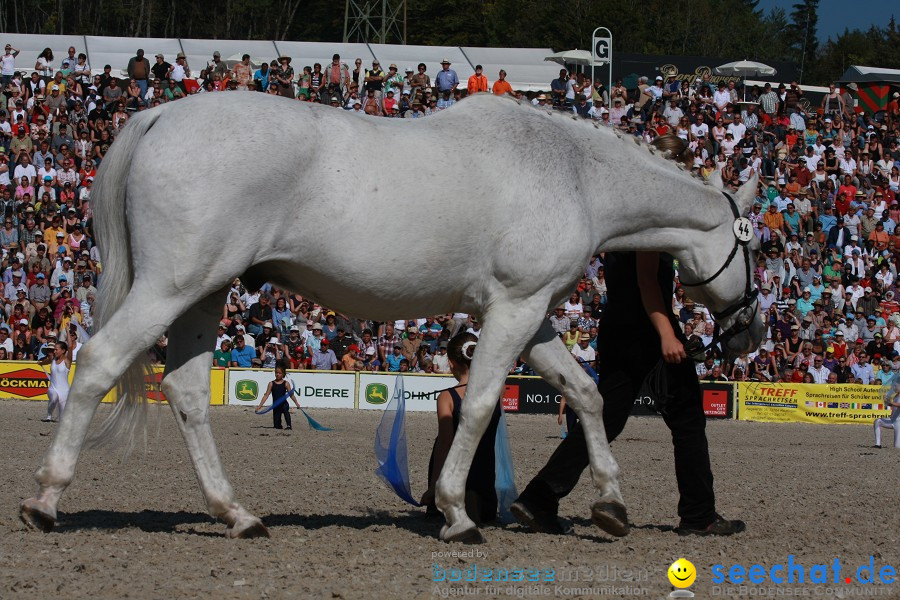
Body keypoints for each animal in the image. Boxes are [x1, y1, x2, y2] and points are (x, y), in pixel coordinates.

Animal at [21, 94, 764, 544]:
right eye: (755, 240)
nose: (751, 331)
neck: (573, 173)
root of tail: (159, 117)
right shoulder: (516, 306)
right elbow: (480, 403)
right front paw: (458, 513)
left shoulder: (530, 314)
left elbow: (584, 393)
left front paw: (610, 504)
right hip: (169, 286)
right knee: (97, 363)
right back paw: (45, 501)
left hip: (203, 293)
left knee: (184, 392)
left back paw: (238, 514)